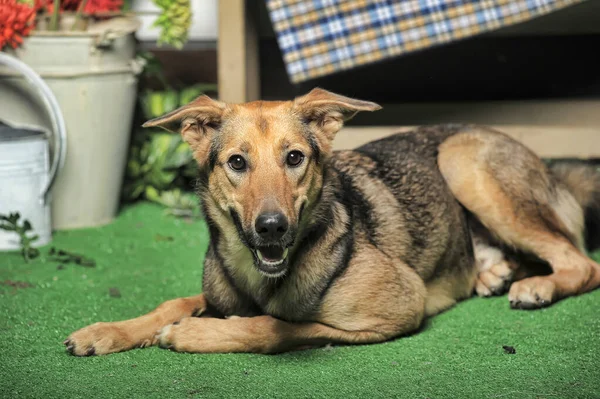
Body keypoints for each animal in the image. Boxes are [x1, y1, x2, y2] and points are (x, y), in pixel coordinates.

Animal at [64, 88, 600, 356]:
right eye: (237, 162)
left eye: (295, 158)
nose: (272, 227)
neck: (260, 276)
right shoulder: (216, 294)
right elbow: (174, 302)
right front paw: (106, 332)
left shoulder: (402, 305)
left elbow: (279, 326)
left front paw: (194, 335)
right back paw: (494, 272)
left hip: (463, 160)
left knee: (581, 261)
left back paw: (537, 287)